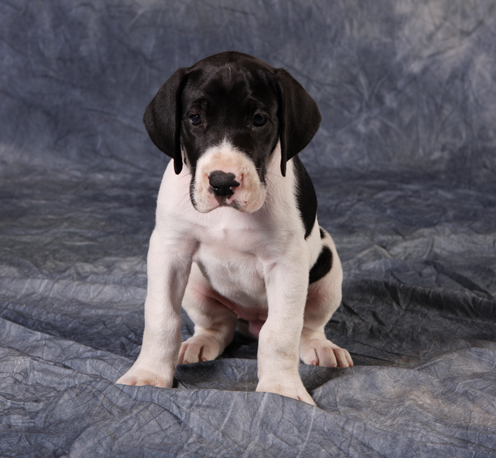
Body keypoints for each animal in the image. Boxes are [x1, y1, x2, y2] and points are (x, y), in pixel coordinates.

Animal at [118, 51, 352, 404]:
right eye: (195, 118)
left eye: (259, 119)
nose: (222, 182)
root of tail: (249, 321)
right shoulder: (169, 251)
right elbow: (161, 317)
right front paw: (149, 375)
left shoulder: (287, 264)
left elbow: (281, 332)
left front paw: (281, 390)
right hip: (196, 285)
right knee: (219, 325)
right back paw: (201, 342)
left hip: (328, 272)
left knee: (307, 326)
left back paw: (321, 347)